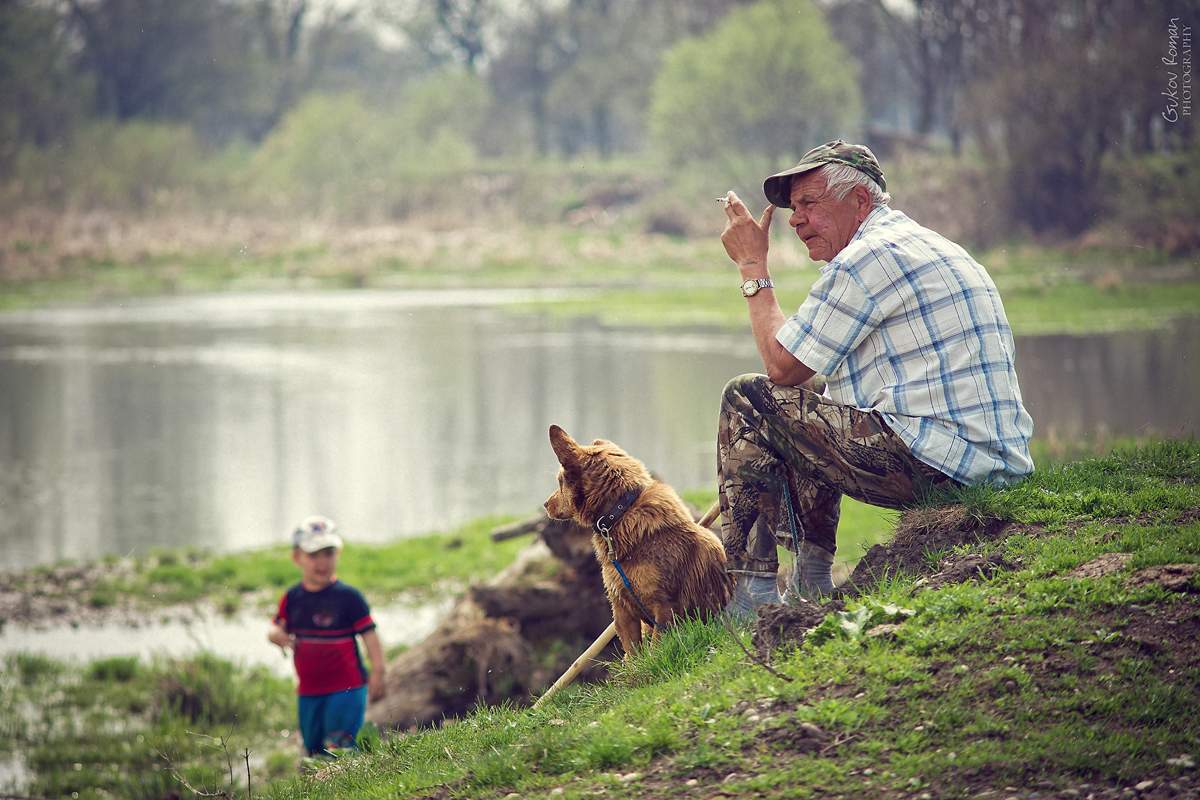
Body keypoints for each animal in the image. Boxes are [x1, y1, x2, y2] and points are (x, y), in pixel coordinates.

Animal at [544, 424, 729, 657]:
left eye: (560, 482)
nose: (545, 504)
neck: (620, 513)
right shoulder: (622, 610)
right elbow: (633, 654)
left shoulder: (666, 609)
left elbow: (657, 649)